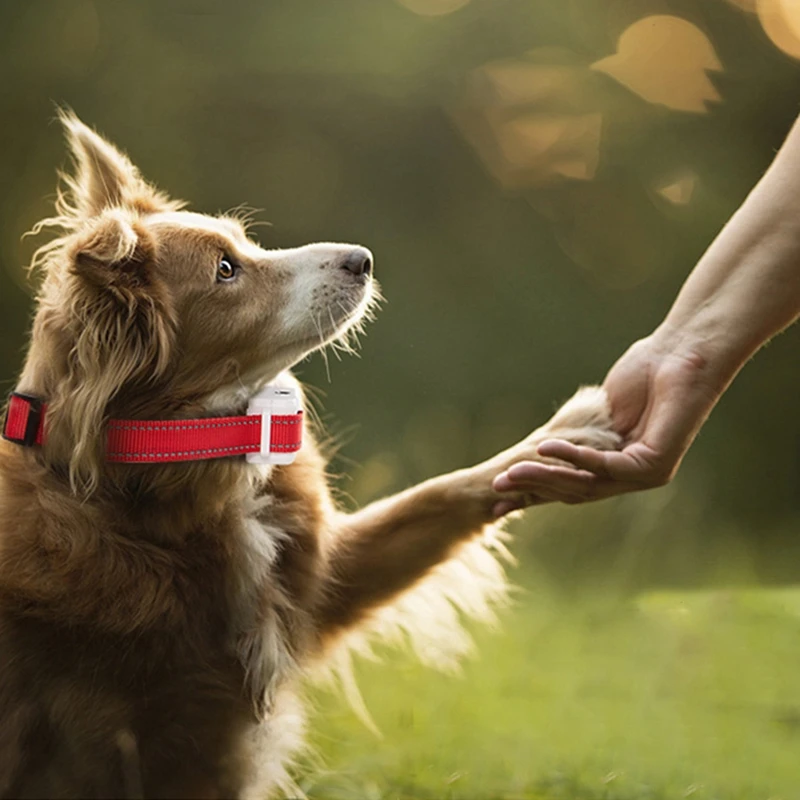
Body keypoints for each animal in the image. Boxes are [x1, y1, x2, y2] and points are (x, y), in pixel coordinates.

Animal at [0, 114, 620, 800]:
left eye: (245, 245)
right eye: (225, 269)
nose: (363, 260)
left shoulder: (320, 577)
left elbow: (435, 496)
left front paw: (571, 432)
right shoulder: (180, 736)